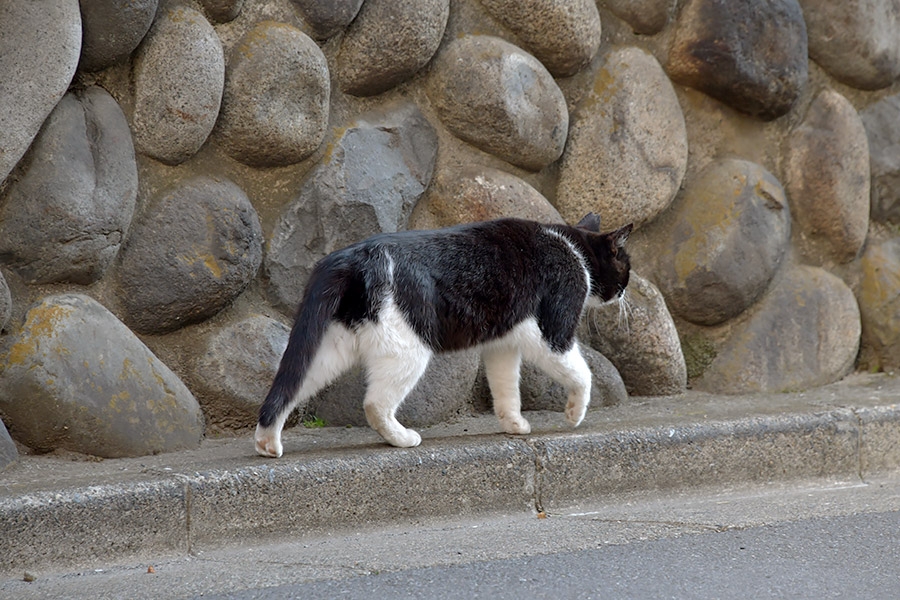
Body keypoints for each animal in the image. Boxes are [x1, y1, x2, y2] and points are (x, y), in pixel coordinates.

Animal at [253, 213, 632, 458]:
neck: (573, 249)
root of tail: (350, 257)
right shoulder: (553, 333)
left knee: (286, 390)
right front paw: (574, 414)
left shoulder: (502, 345)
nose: (625, 292)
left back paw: (267, 443)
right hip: (408, 349)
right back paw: (402, 438)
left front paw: (514, 423)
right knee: (374, 403)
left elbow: (506, 386)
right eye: (626, 267)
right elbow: (582, 374)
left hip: (328, 349)